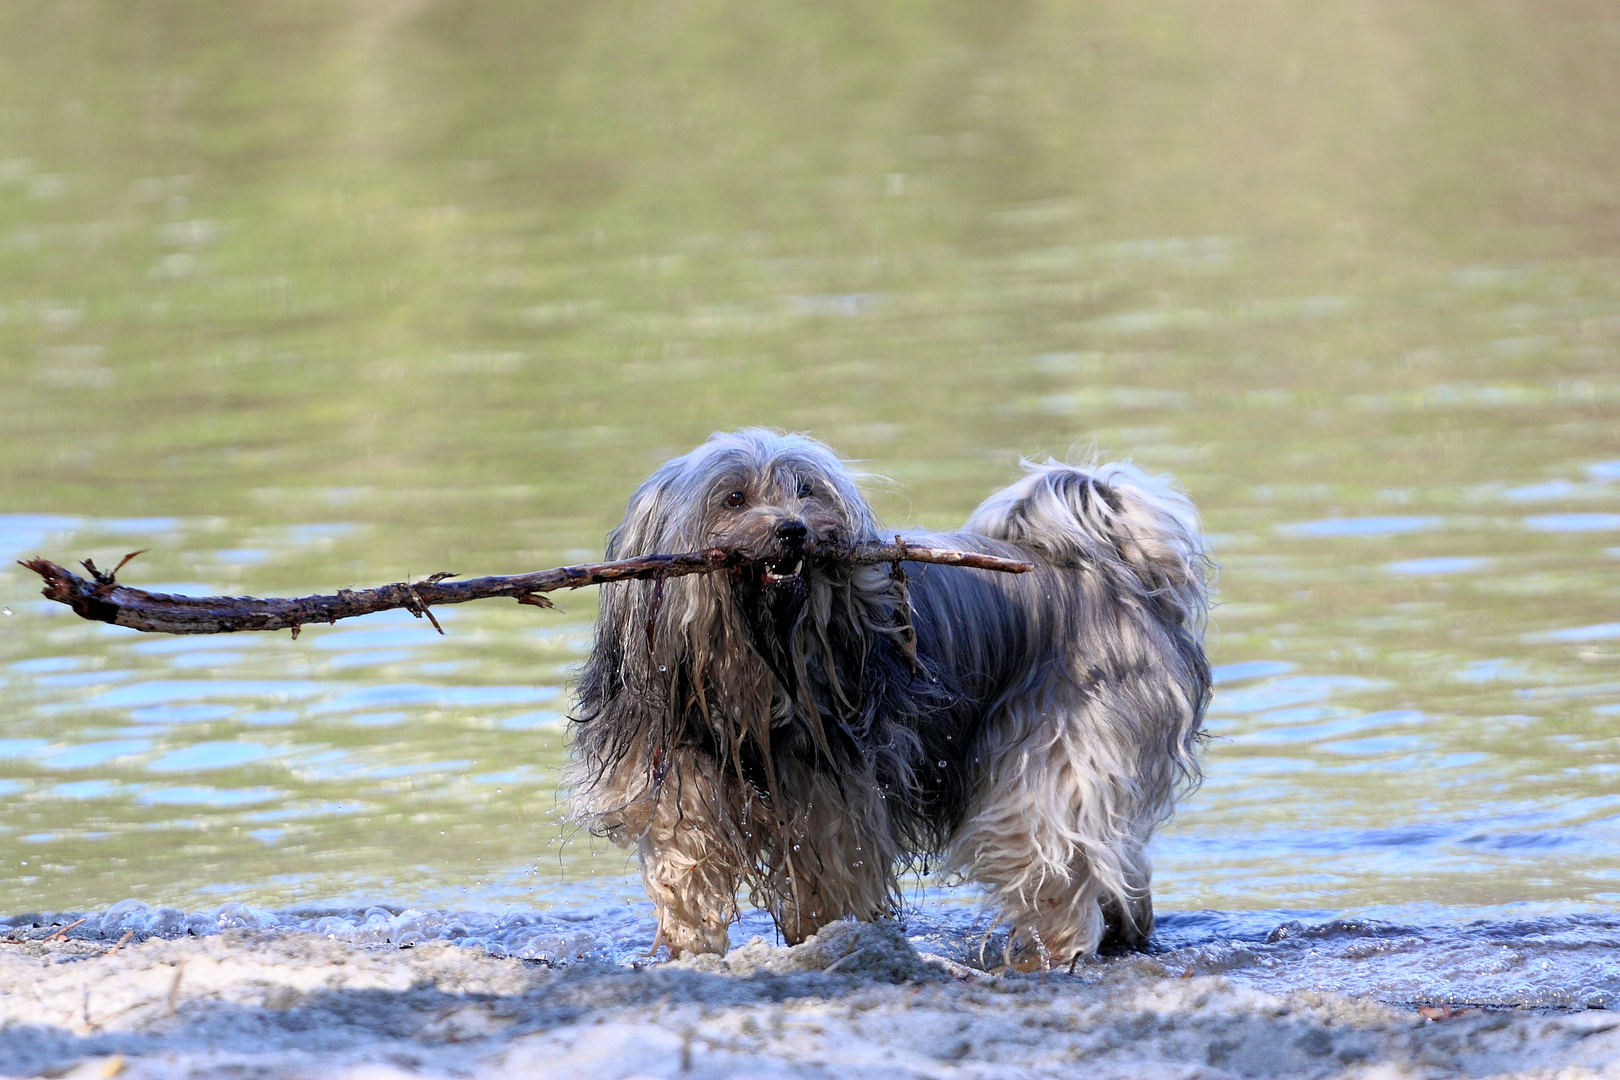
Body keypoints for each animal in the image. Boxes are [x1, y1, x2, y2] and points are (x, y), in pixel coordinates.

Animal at [563, 427, 1211, 965]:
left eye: (805, 491)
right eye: (734, 499)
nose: (793, 530)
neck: (755, 674)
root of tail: (1116, 575)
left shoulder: (834, 807)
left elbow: (831, 886)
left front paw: (829, 940)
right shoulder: (680, 792)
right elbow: (686, 879)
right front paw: (688, 951)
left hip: (1058, 755)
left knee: (1053, 863)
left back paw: (1054, 954)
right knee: (1117, 868)